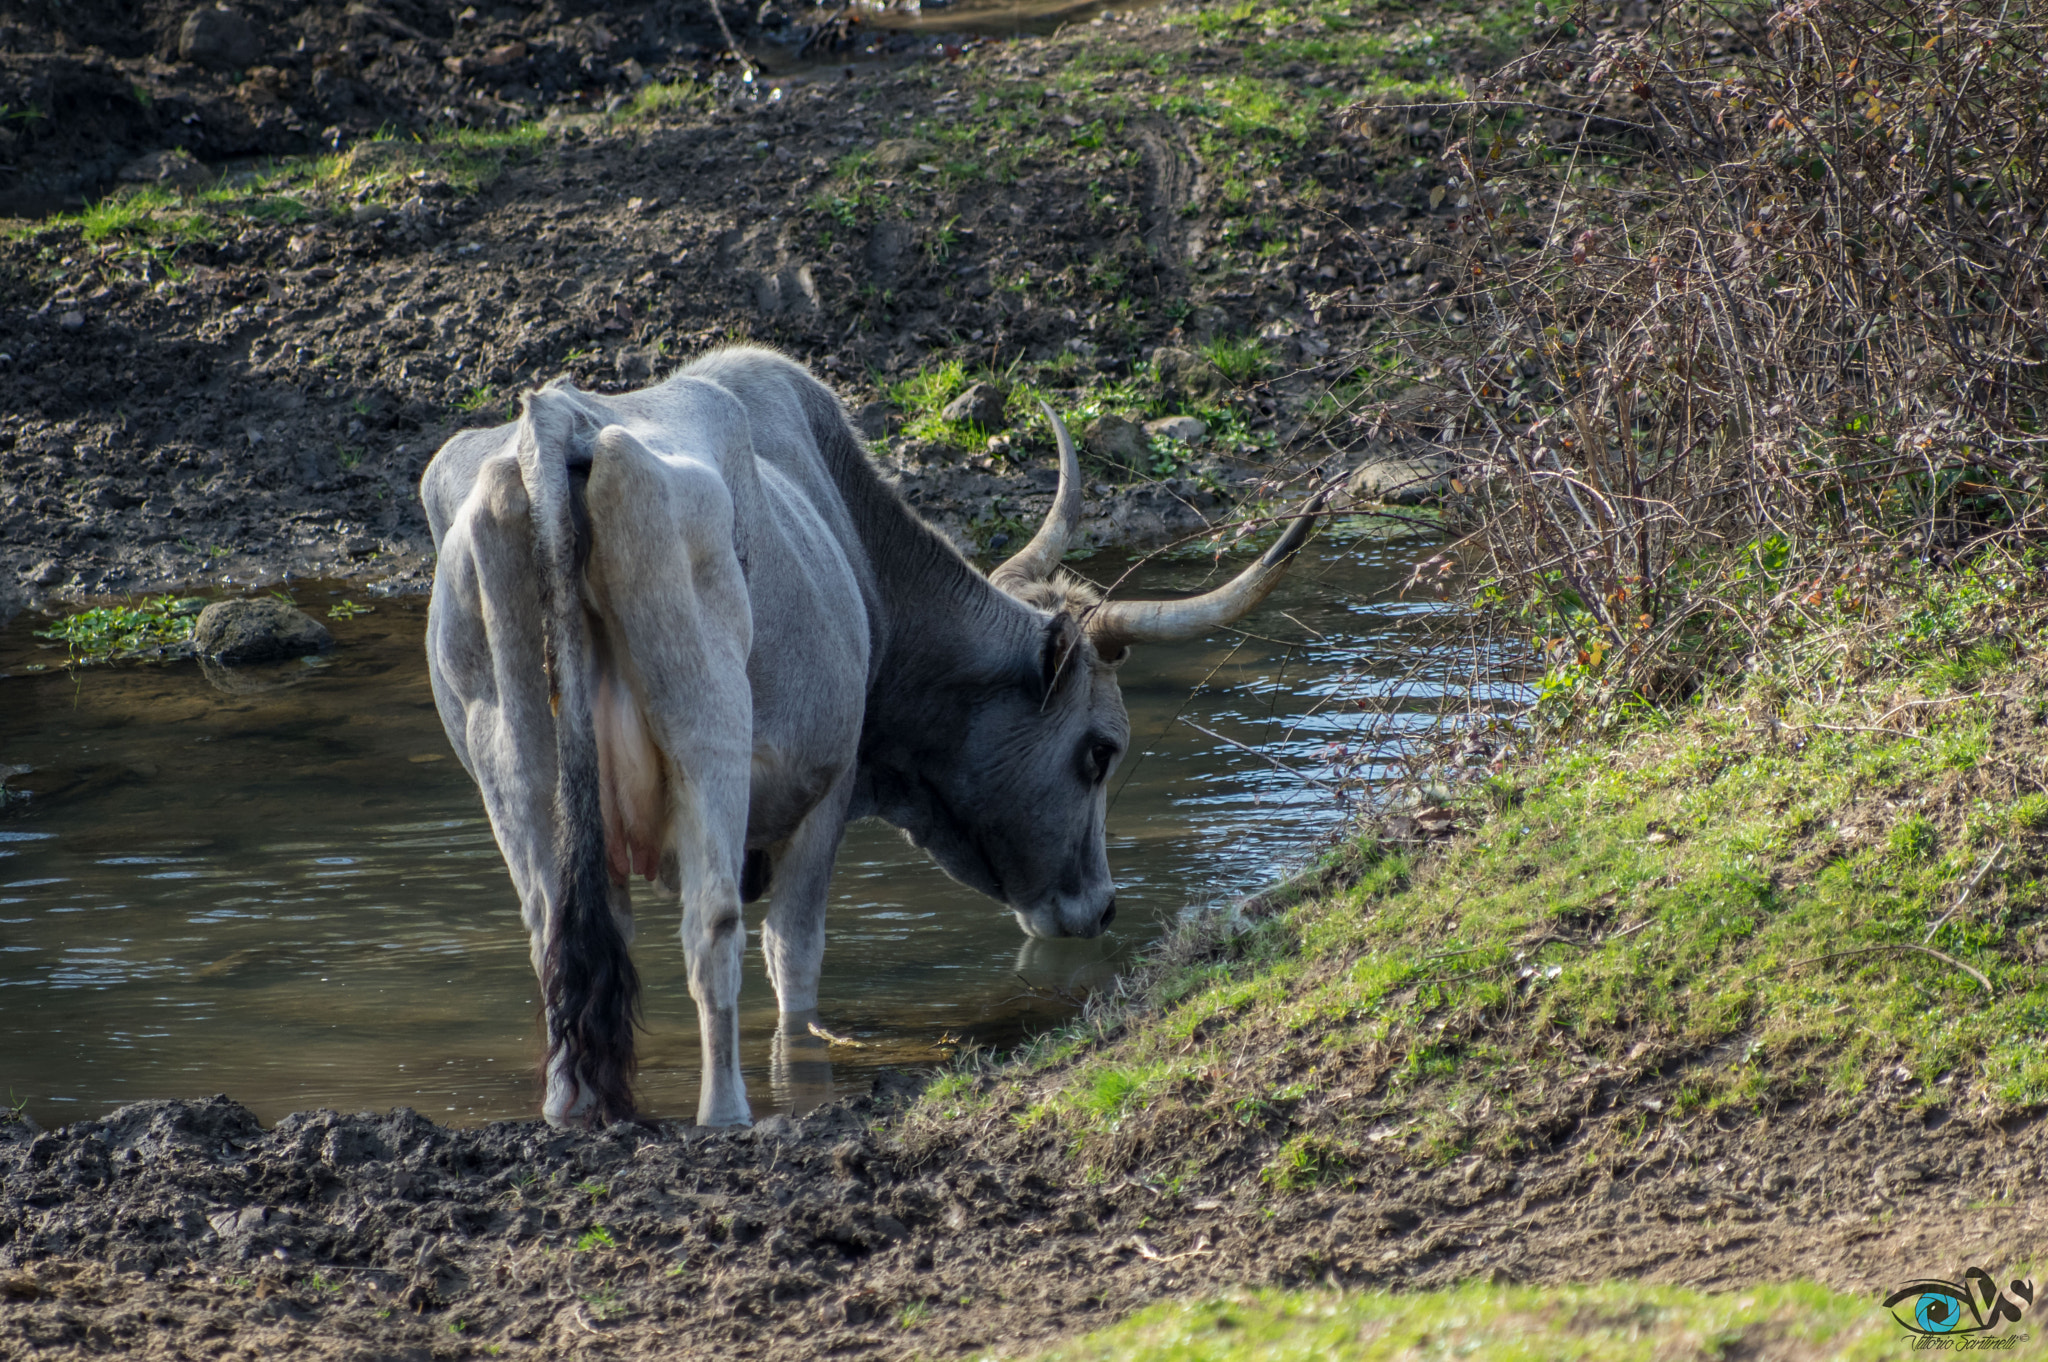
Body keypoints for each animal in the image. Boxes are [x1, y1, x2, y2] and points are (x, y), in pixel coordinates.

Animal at [419, 346, 1327, 1122]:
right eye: (1100, 750)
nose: (1100, 908)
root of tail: (557, 426)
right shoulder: (827, 789)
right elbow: (795, 953)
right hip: (709, 739)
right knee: (713, 928)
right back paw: (728, 1114)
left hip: (514, 762)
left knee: (555, 935)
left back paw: (571, 1110)